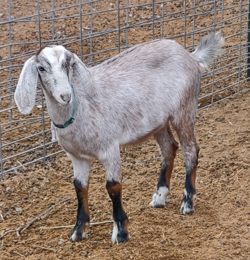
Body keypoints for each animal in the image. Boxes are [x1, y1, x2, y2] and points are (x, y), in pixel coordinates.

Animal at [14, 32, 225, 244]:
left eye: (68, 64)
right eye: (41, 68)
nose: (65, 95)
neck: (78, 110)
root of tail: (191, 57)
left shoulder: (109, 148)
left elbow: (113, 187)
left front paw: (121, 232)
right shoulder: (77, 157)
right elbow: (79, 187)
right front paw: (78, 231)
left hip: (184, 110)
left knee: (190, 151)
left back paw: (187, 202)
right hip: (158, 122)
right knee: (169, 148)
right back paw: (159, 196)